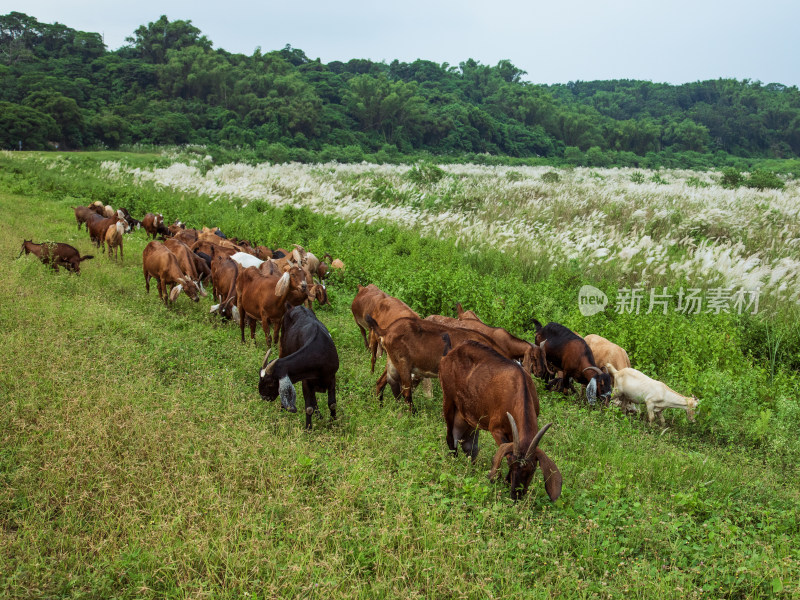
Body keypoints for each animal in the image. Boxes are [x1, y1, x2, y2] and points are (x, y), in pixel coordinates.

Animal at [438, 342, 564, 502]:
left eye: (533, 469)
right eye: (510, 465)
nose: (516, 496)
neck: (519, 388)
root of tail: (448, 355)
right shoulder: (496, 429)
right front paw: (497, 480)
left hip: (469, 415)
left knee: (469, 445)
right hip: (448, 400)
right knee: (451, 438)